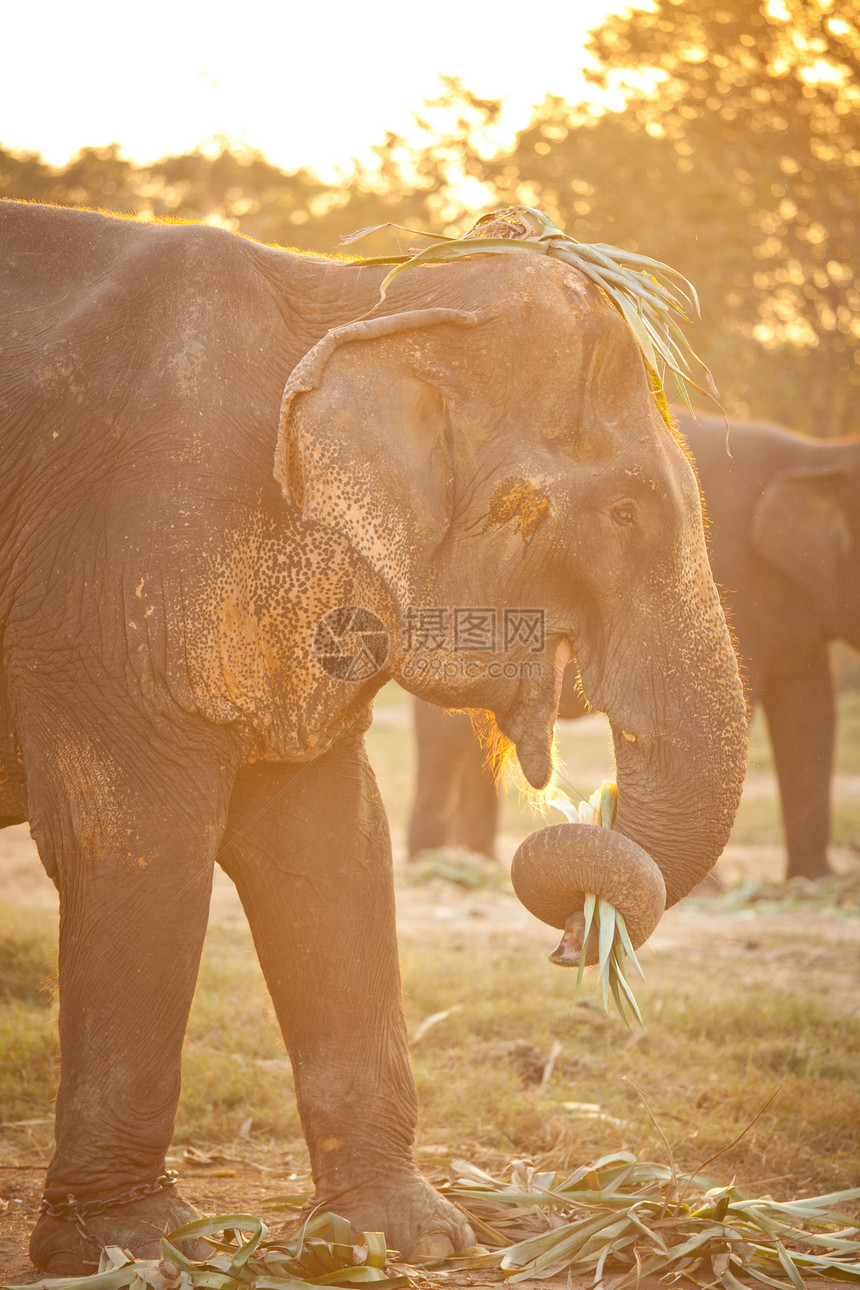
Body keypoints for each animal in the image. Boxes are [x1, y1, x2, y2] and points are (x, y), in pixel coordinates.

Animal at [0, 201, 747, 1269]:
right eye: (624, 511)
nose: (574, 945)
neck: (368, 295)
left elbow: (334, 849)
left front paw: (407, 1239)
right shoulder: (115, 579)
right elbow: (135, 847)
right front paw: (137, 1250)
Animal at [412, 407, 860, 882]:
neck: (816, 455)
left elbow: (811, 710)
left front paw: (815, 880)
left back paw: (475, 860)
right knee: (443, 735)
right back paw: (430, 859)